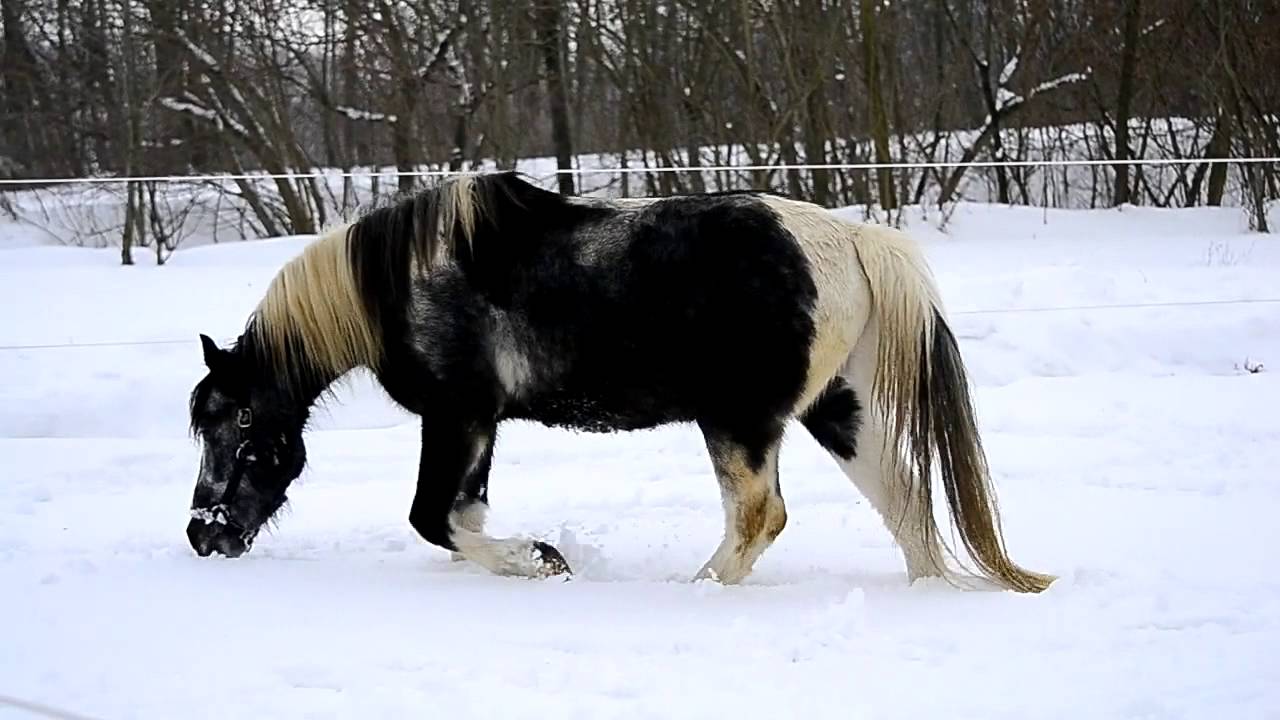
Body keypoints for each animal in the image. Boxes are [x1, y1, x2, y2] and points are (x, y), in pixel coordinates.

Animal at [186, 171, 1054, 593]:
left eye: (234, 421)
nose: (204, 533)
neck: (398, 281)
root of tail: (851, 238)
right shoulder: (478, 424)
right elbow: (461, 516)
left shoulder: (458, 413)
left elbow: (434, 516)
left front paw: (540, 560)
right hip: (837, 409)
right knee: (904, 501)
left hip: (739, 420)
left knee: (758, 518)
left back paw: (696, 588)